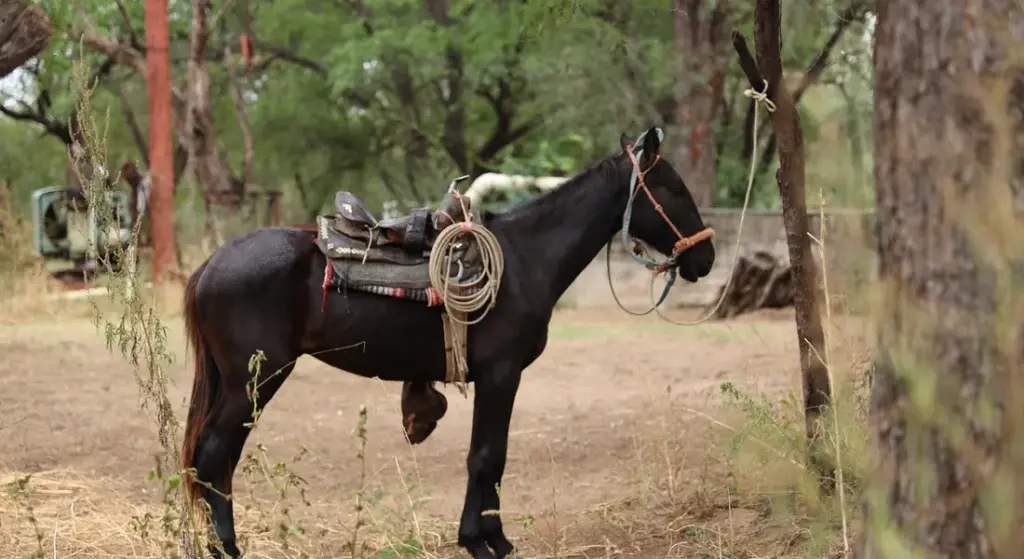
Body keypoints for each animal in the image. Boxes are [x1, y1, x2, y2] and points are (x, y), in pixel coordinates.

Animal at [179, 127, 716, 559]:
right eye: (672, 188)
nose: (706, 257)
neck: (526, 258)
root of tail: (212, 263)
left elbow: (490, 455)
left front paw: (492, 539)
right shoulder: (501, 375)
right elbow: (487, 455)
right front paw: (482, 542)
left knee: (216, 460)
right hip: (255, 379)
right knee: (213, 454)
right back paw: (226, 548)